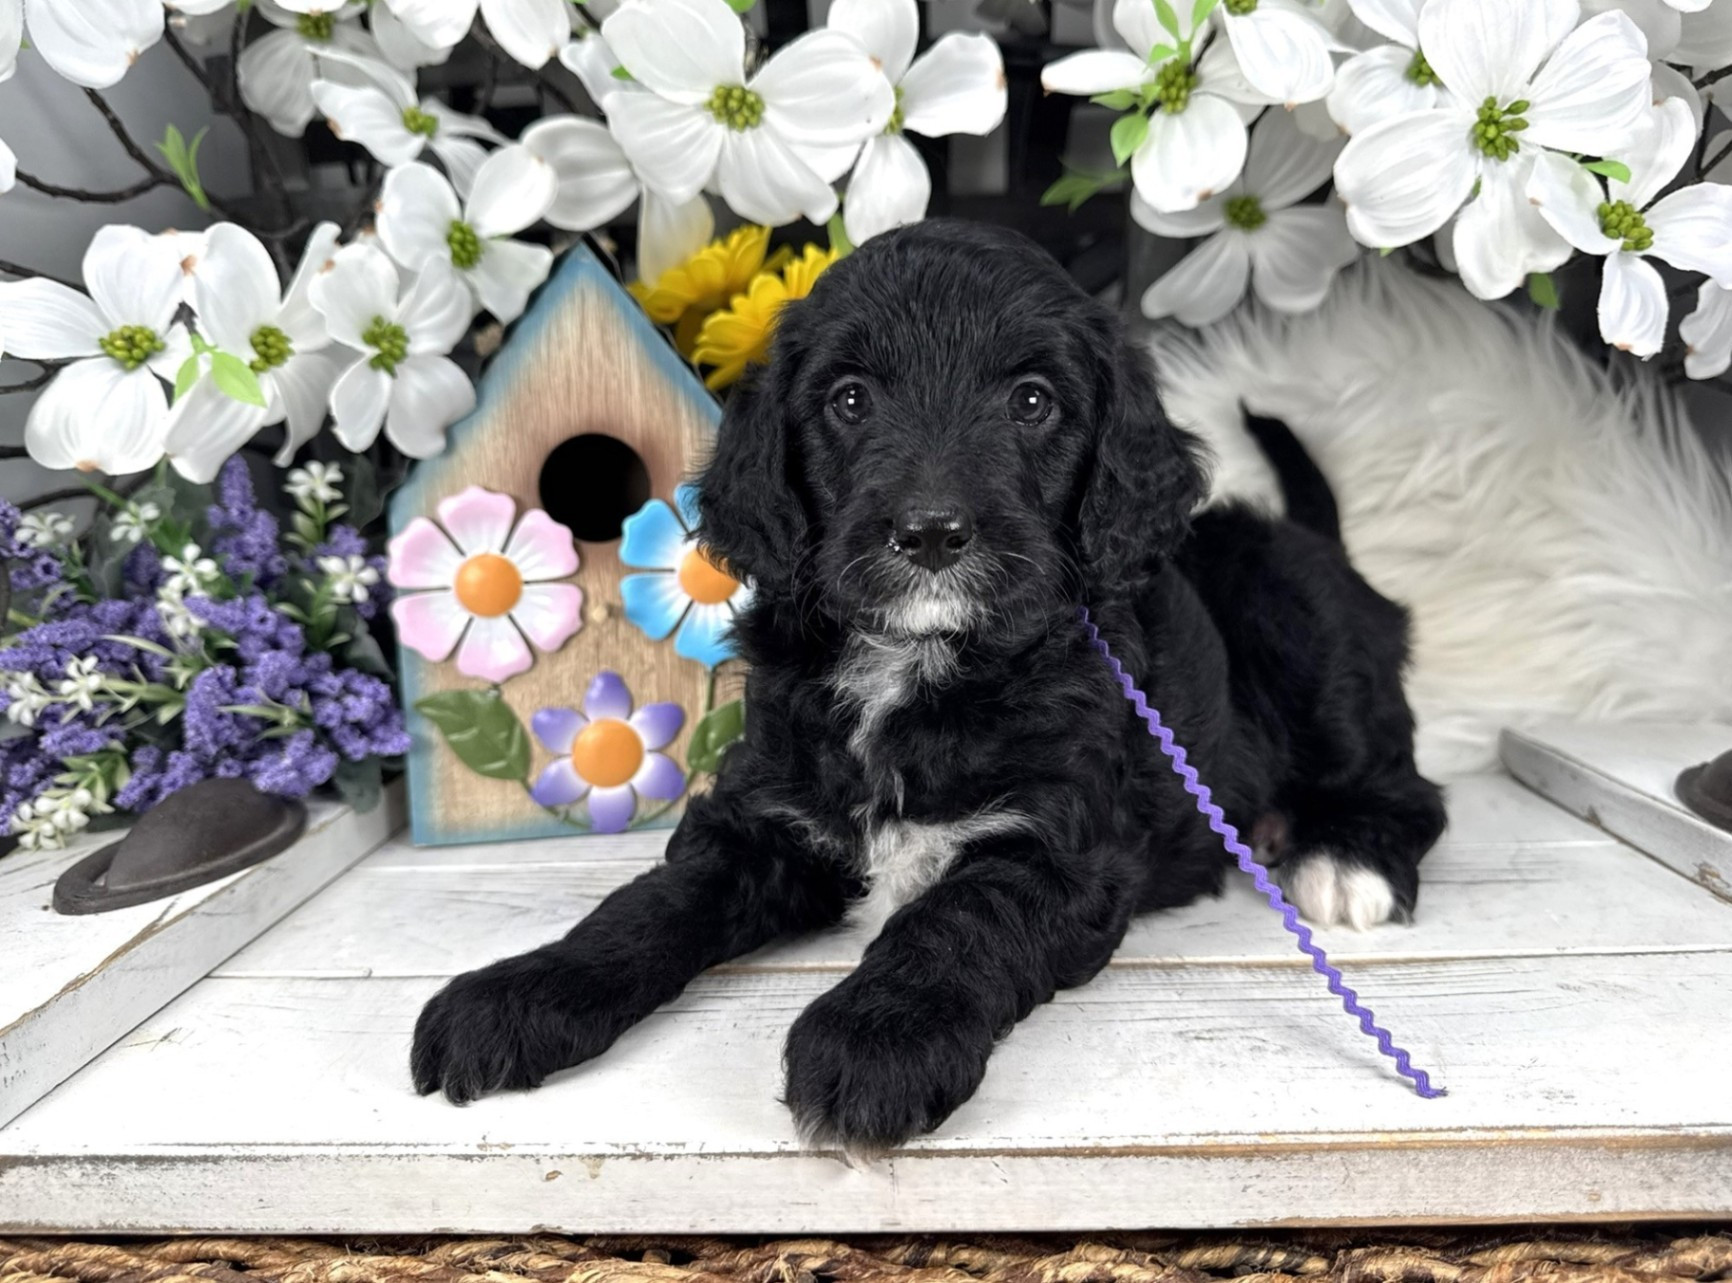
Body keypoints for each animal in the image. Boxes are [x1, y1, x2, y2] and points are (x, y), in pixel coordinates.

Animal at [410, 220, 1446, 1150]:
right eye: (850, 399)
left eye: (1031, 400)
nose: (933, 533)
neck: (915, 661)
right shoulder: (761, 815)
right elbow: (645, 907)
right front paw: (517, 992)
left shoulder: (1055, 843)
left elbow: (954, 919)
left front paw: (874, 1040)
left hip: (1296, 615)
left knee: (1404, 782)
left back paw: (1343, 858)